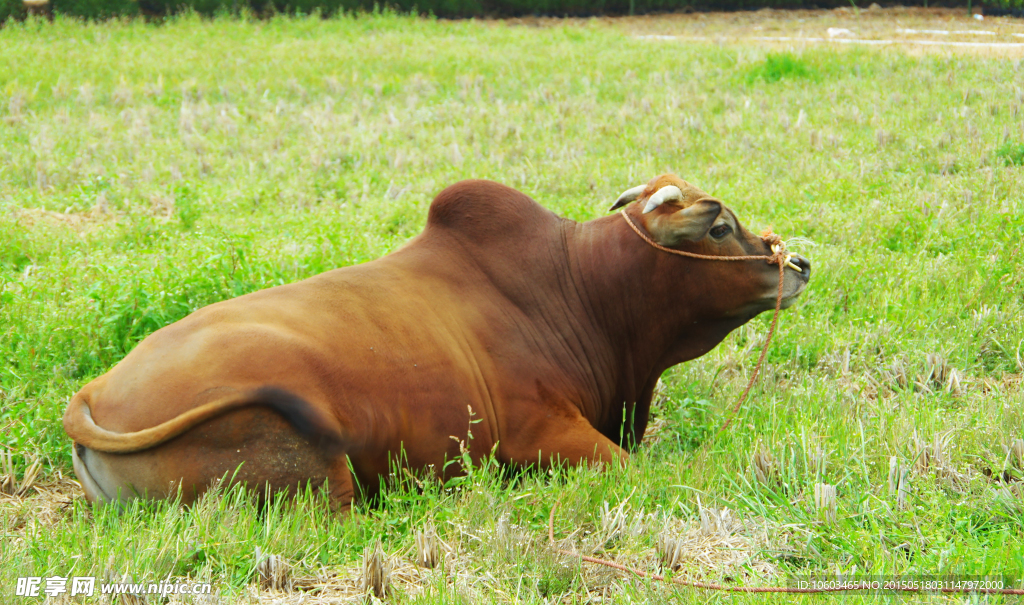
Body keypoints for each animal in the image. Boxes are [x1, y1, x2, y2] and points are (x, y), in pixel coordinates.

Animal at [64, 175, 811, 511]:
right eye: (720, 226)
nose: (797, 263)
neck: (579, 290)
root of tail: (92, 393)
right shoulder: (540, 434)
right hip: (320, 469)